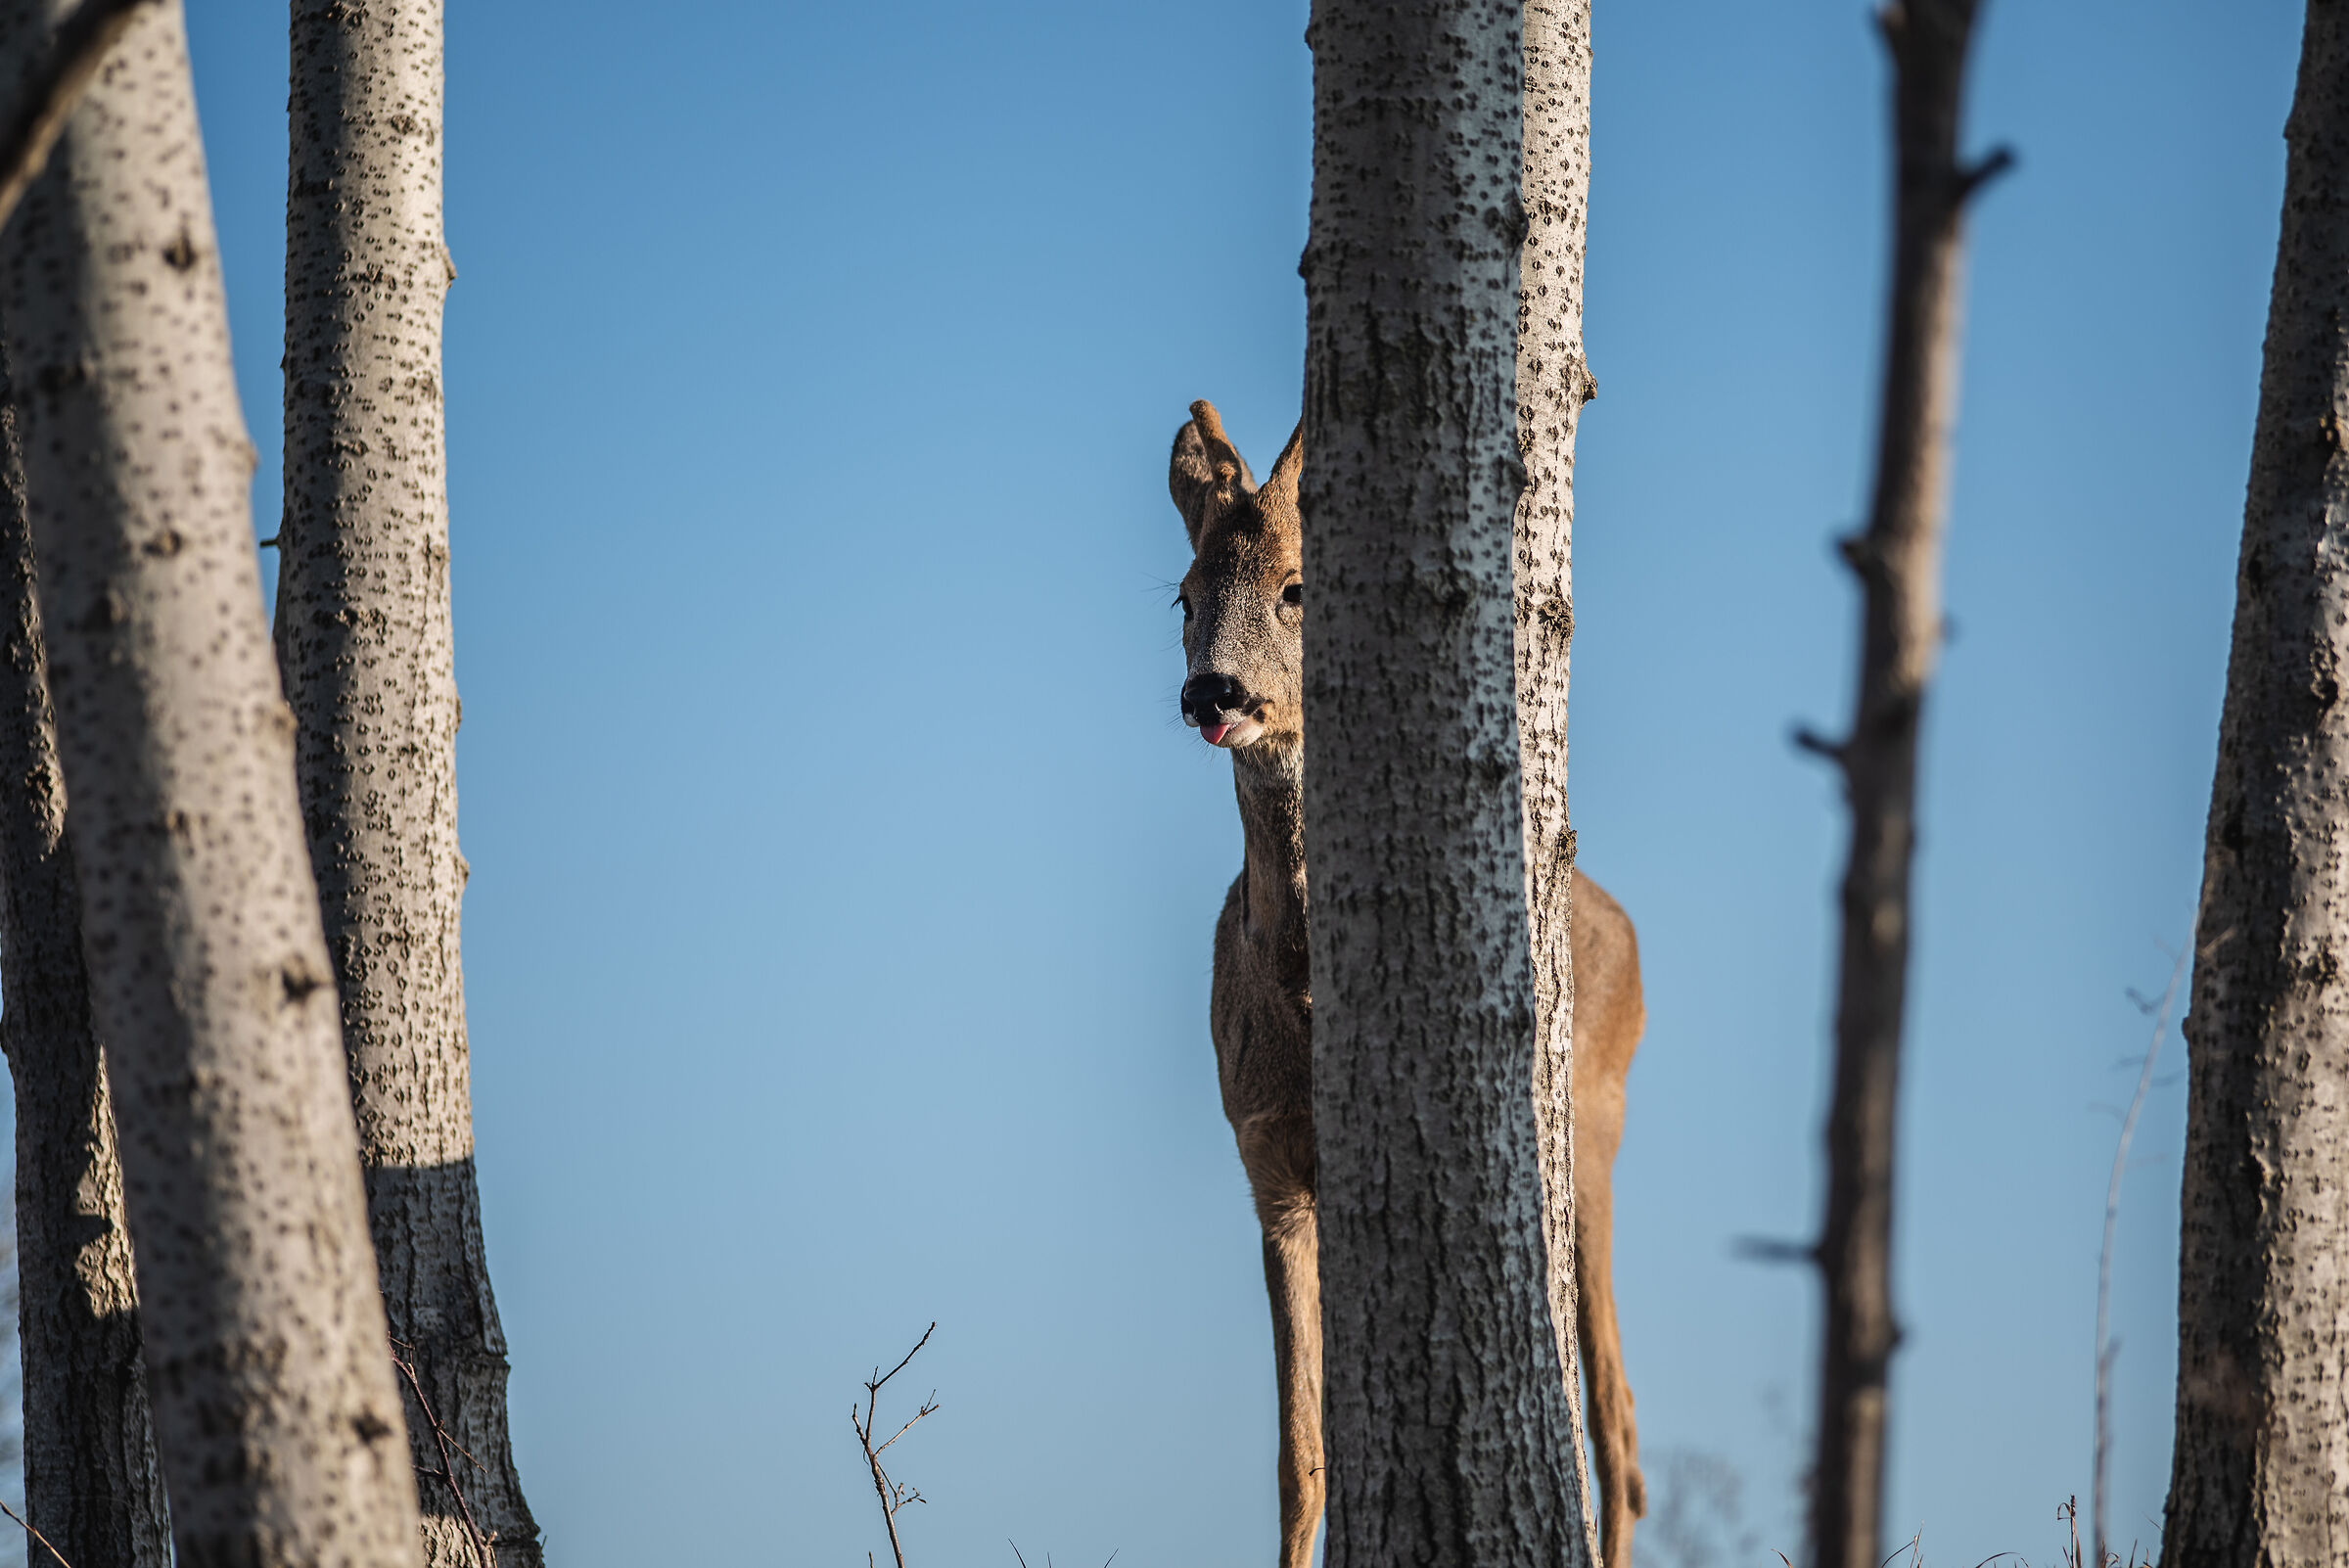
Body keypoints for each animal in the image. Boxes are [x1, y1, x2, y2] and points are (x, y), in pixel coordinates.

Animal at [1166, 399, 1647, 1568]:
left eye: (1298, 587)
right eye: (1184, 596)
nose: (1213, 692)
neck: (1303, 998)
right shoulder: (1267, 1160)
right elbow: (1302, 1454)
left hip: (1591, 1128)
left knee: (1614, 1418)